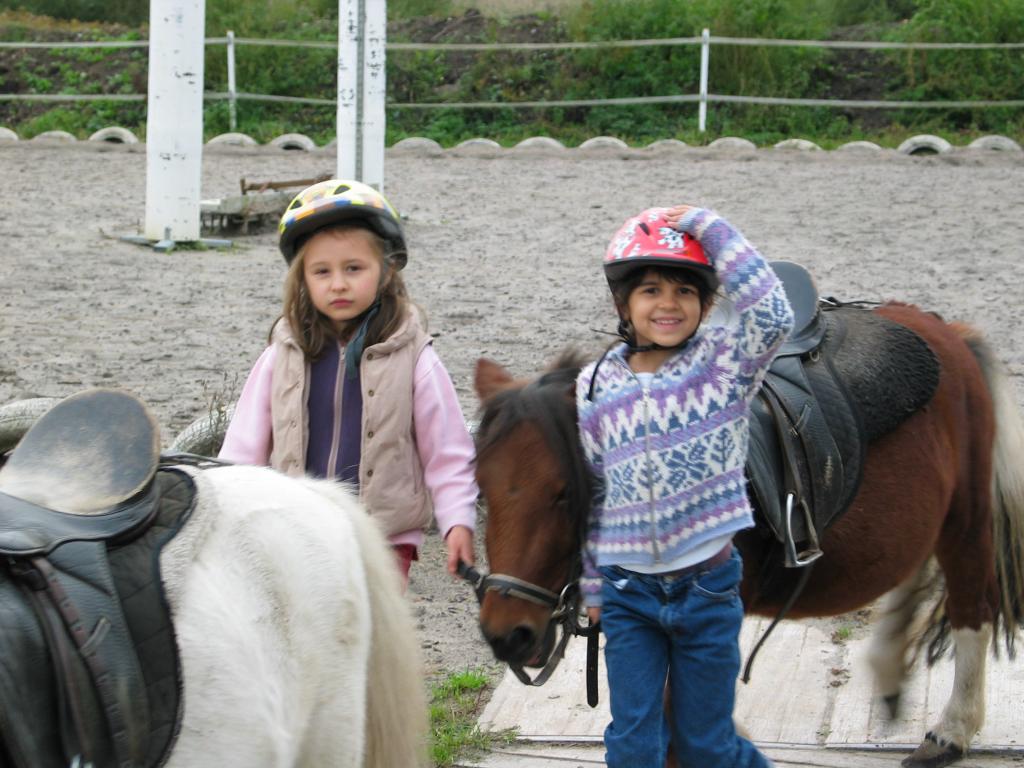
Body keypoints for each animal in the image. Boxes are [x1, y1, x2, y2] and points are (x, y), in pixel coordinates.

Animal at [468, 303, 1024, 768]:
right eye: (479, 489)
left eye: (565, 493)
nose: (507, 634)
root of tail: (950, 332)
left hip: (966, 517)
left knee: (973, 607)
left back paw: (952, 731)